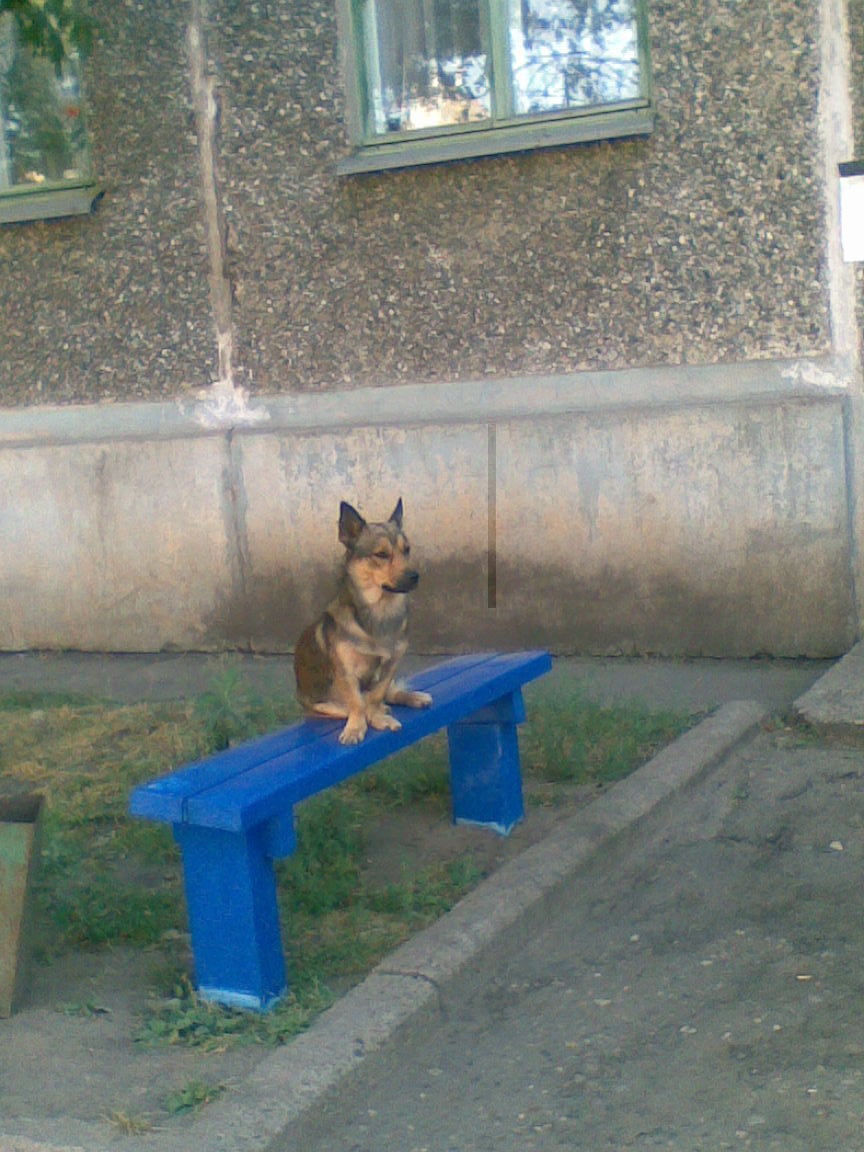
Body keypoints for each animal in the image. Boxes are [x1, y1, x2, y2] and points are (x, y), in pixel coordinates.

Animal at [297, 497, 433, 746]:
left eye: (407, 550)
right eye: (381, 554)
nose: (415, 576)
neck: (380, 611)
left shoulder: (391, 664)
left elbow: (377, 694)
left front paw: (377, 715)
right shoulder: (346, 671)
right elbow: (357, 702)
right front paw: (357, 727)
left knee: (388, 693)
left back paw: (410, 698)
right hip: (321, 706)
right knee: (347, 706)